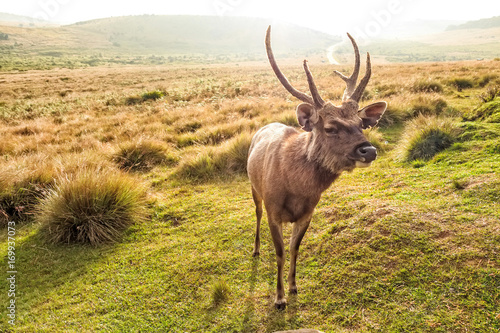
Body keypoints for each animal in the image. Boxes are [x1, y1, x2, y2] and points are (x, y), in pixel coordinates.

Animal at [248, 27, 388, 310]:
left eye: (361, 124)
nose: (369, 150)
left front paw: (293, 287)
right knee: (255, 215)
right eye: (330, 128)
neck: (296, 188)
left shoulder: (308, 213)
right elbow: (280, 252)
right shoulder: (273, 210)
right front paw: (278, 298)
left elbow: (294, 249)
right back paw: (256, 249)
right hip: (254, 188)